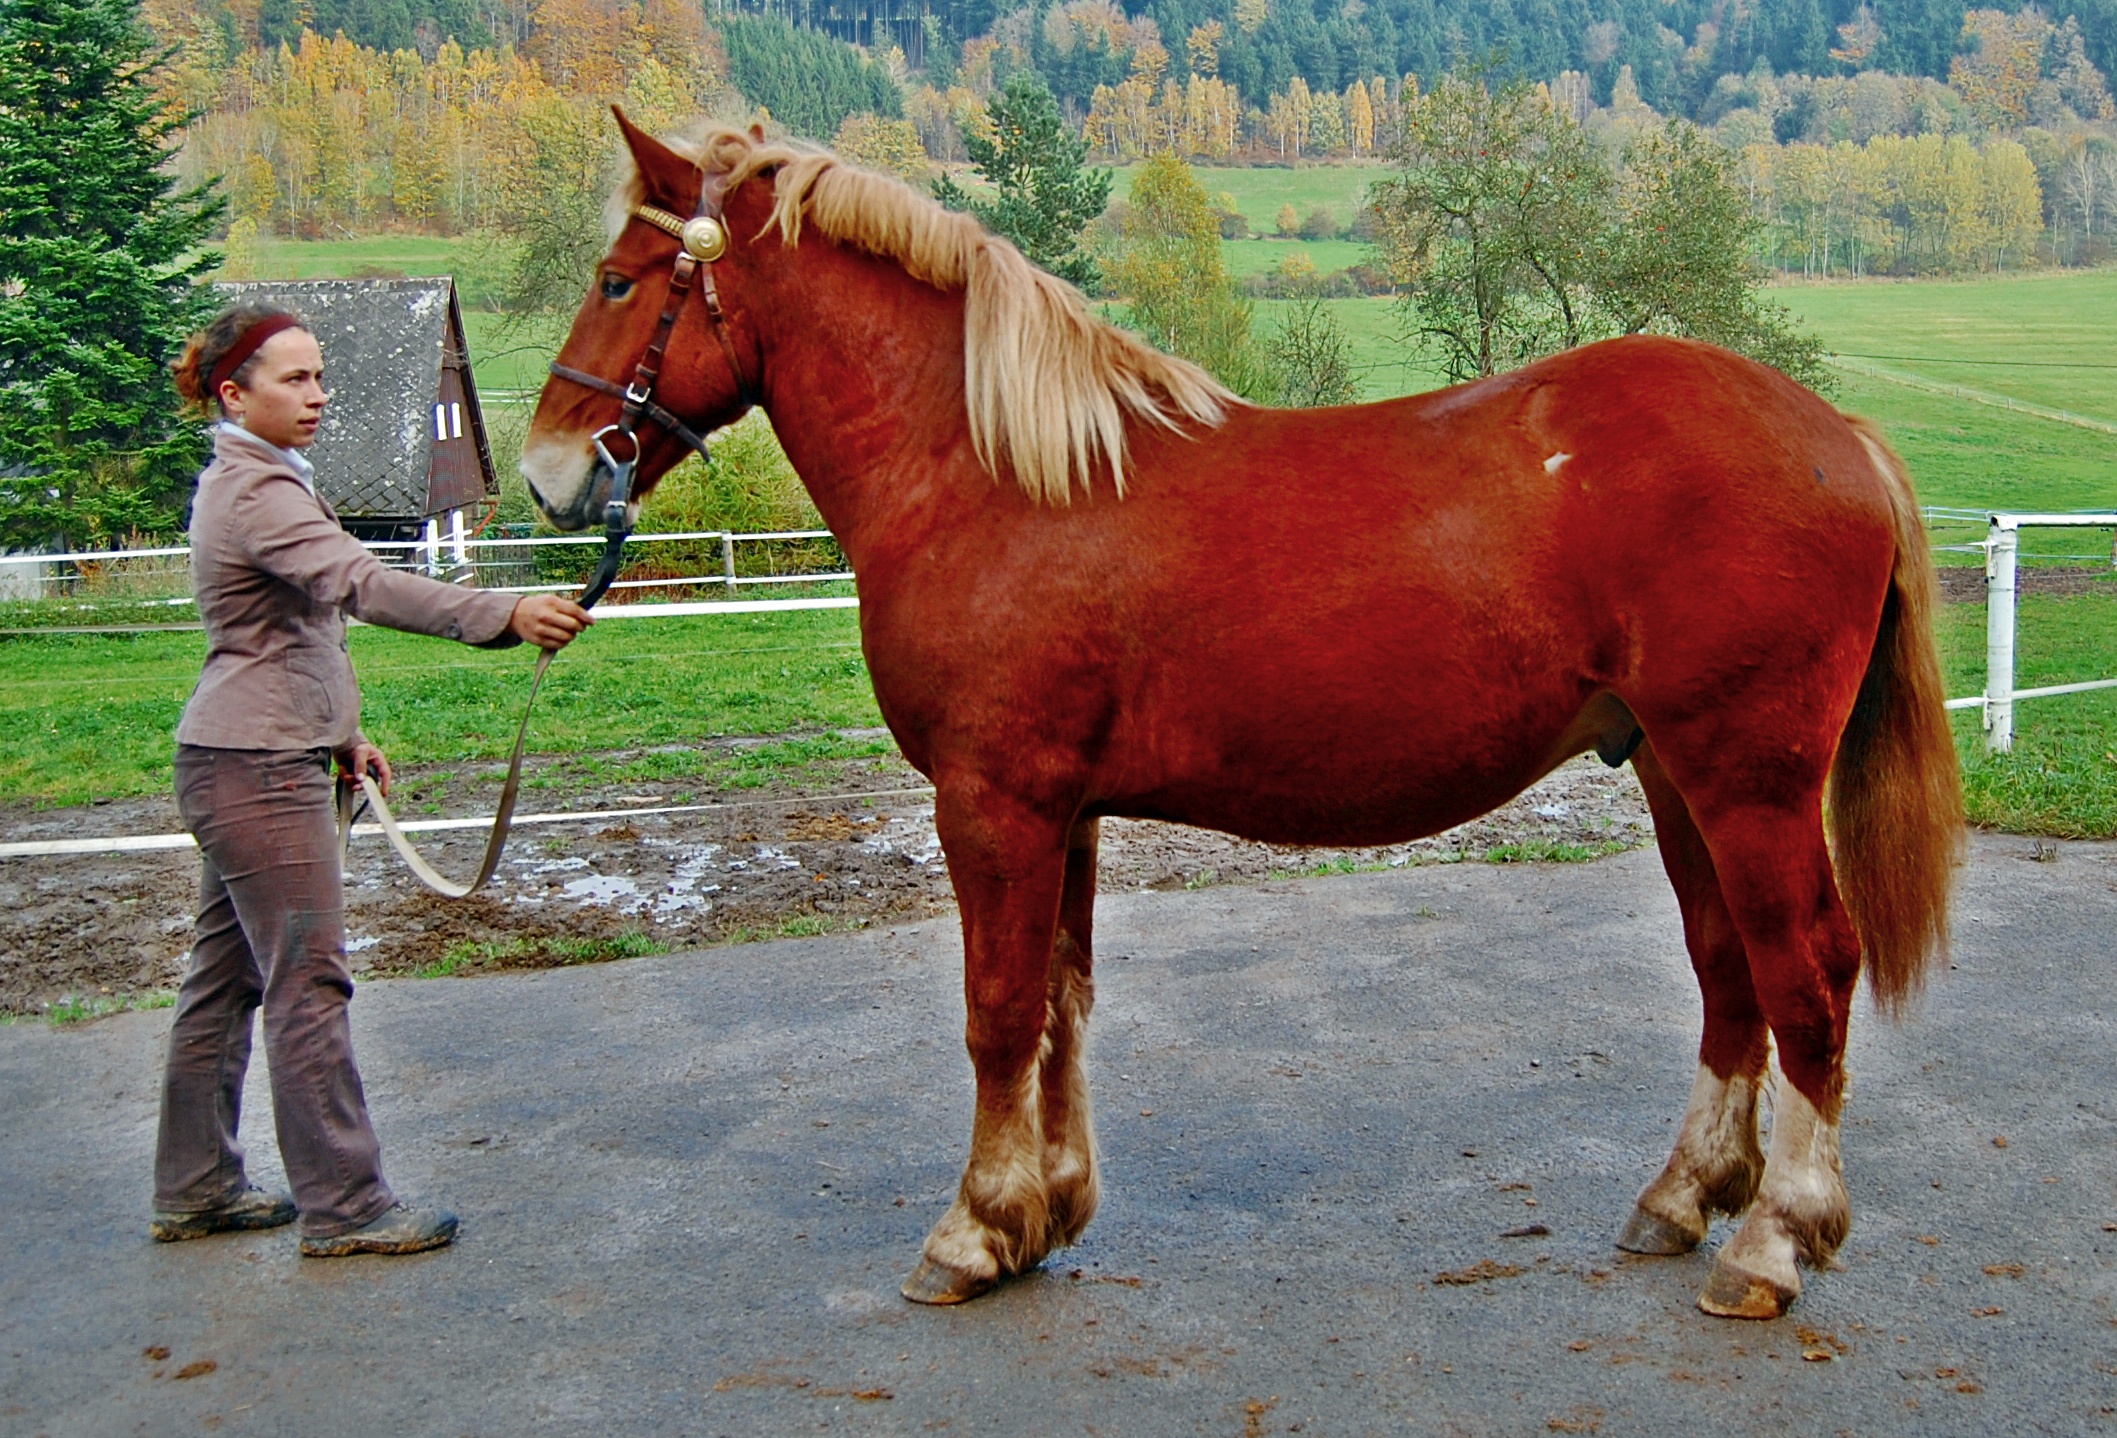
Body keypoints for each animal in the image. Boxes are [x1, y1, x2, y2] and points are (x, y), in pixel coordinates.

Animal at [516, 118, 1964, 1321]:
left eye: (619, 280)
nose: (543, 471)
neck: (998, 474)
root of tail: (1836, 431)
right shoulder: (1062, 808)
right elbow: (1059, 1001)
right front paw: (1044, 1212)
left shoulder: (992, 800)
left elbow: (996, 1010)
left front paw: (973, 1230)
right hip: (1673, 772)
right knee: (1729, 977)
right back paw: (1681, 1198)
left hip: (1748, 779)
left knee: (1806, 976)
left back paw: (1772, 1240)